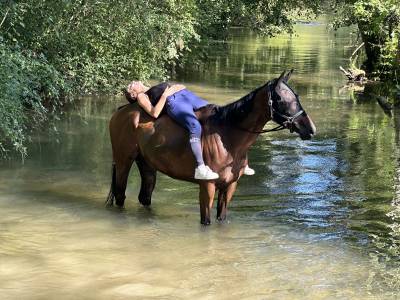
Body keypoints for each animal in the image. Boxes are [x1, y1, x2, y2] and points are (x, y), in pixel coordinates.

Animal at [105, 71, 316, 225]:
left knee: (145, 197)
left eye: (296, 96)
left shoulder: (230, 186)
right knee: (120, 194)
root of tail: (121, 111)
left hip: (147, 164)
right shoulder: (208, 187)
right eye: (280, 98)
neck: (228, 138)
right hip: (124, 160)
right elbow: (206, 221)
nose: (310, 128)